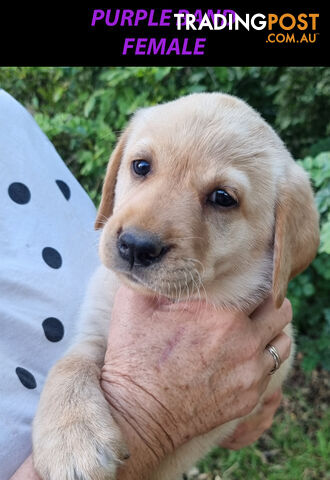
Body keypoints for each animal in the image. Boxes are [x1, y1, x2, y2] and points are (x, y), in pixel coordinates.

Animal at [32, 92, 318, 478]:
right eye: (141, 166)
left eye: (223, 198)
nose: (136, 246)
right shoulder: (94, 328)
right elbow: (70, 364)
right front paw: (71, 437)